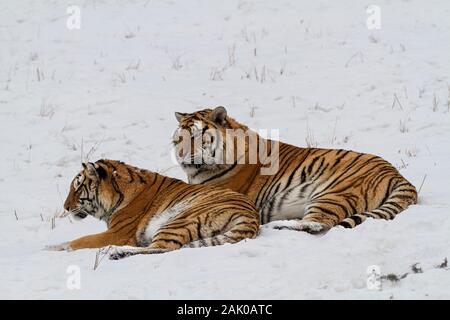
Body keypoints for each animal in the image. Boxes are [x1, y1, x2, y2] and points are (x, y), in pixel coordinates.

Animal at [44, 159, 260, 258]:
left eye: (78, 187)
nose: (65, 207)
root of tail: (252, 216)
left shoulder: (117, 233)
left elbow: (80, 240)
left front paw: (51, 248)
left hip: (178, 219)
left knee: (163, 248)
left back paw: (116, 252)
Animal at [173, 106, 418, 234]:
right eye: (178, 139)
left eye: (195, 137)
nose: (181, 154)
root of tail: (396, 173)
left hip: (333, 194)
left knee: (317, 223)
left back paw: (277, 225)